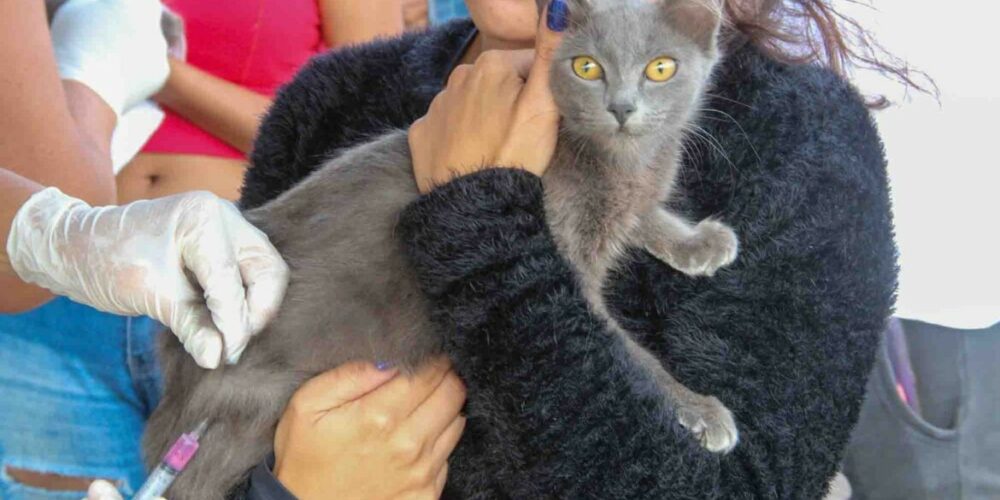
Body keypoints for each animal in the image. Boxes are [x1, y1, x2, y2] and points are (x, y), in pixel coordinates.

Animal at [144, 0, 739, 497]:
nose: (622, 108)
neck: (625, 162)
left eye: (660, 68)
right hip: (252, 411)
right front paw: (701, 409)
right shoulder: (566, 254)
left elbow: (645, 216)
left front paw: (701, 243)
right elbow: (627, 350)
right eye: (588, 68)